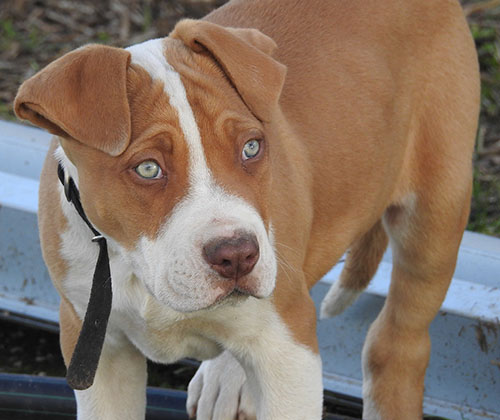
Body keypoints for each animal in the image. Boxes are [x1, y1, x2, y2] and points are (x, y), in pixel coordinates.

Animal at [13, 0, 478, 420]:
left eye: (251, 147)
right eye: (148, 168)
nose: (237, 255)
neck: (134, 270)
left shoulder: (288, 353)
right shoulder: (96, 346)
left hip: (433, 215)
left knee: (396, 343)